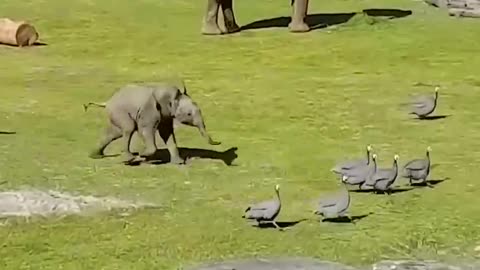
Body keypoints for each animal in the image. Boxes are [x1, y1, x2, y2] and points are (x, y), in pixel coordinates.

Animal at [85, 81, 221, 163]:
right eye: (189, 114)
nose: (219, 142)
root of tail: (107, 101)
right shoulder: (149, 110)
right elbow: (146, 130)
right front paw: (143, 155)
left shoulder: (166, 115)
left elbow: (167, 133)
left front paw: (179, 163)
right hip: (119, 111)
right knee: (128, 128)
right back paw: (130, 159)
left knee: (115, 133)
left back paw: (96, 156)